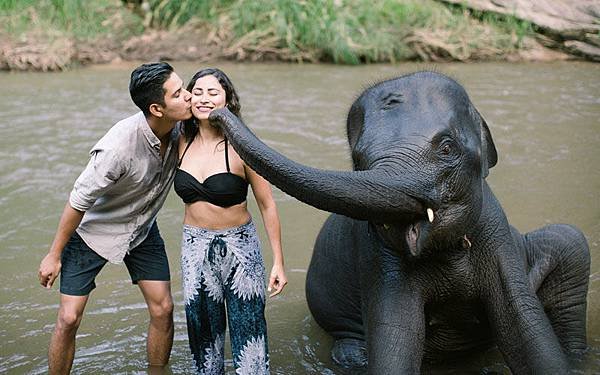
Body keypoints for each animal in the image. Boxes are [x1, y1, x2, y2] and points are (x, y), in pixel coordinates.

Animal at [207, 72, 592, 374]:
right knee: (352, 351)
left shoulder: (496, 235)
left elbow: (526, 328)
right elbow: (395, 340)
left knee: (570, 242)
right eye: (359, 159)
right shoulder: (376, 256)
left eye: (447, 147)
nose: (216, 111)